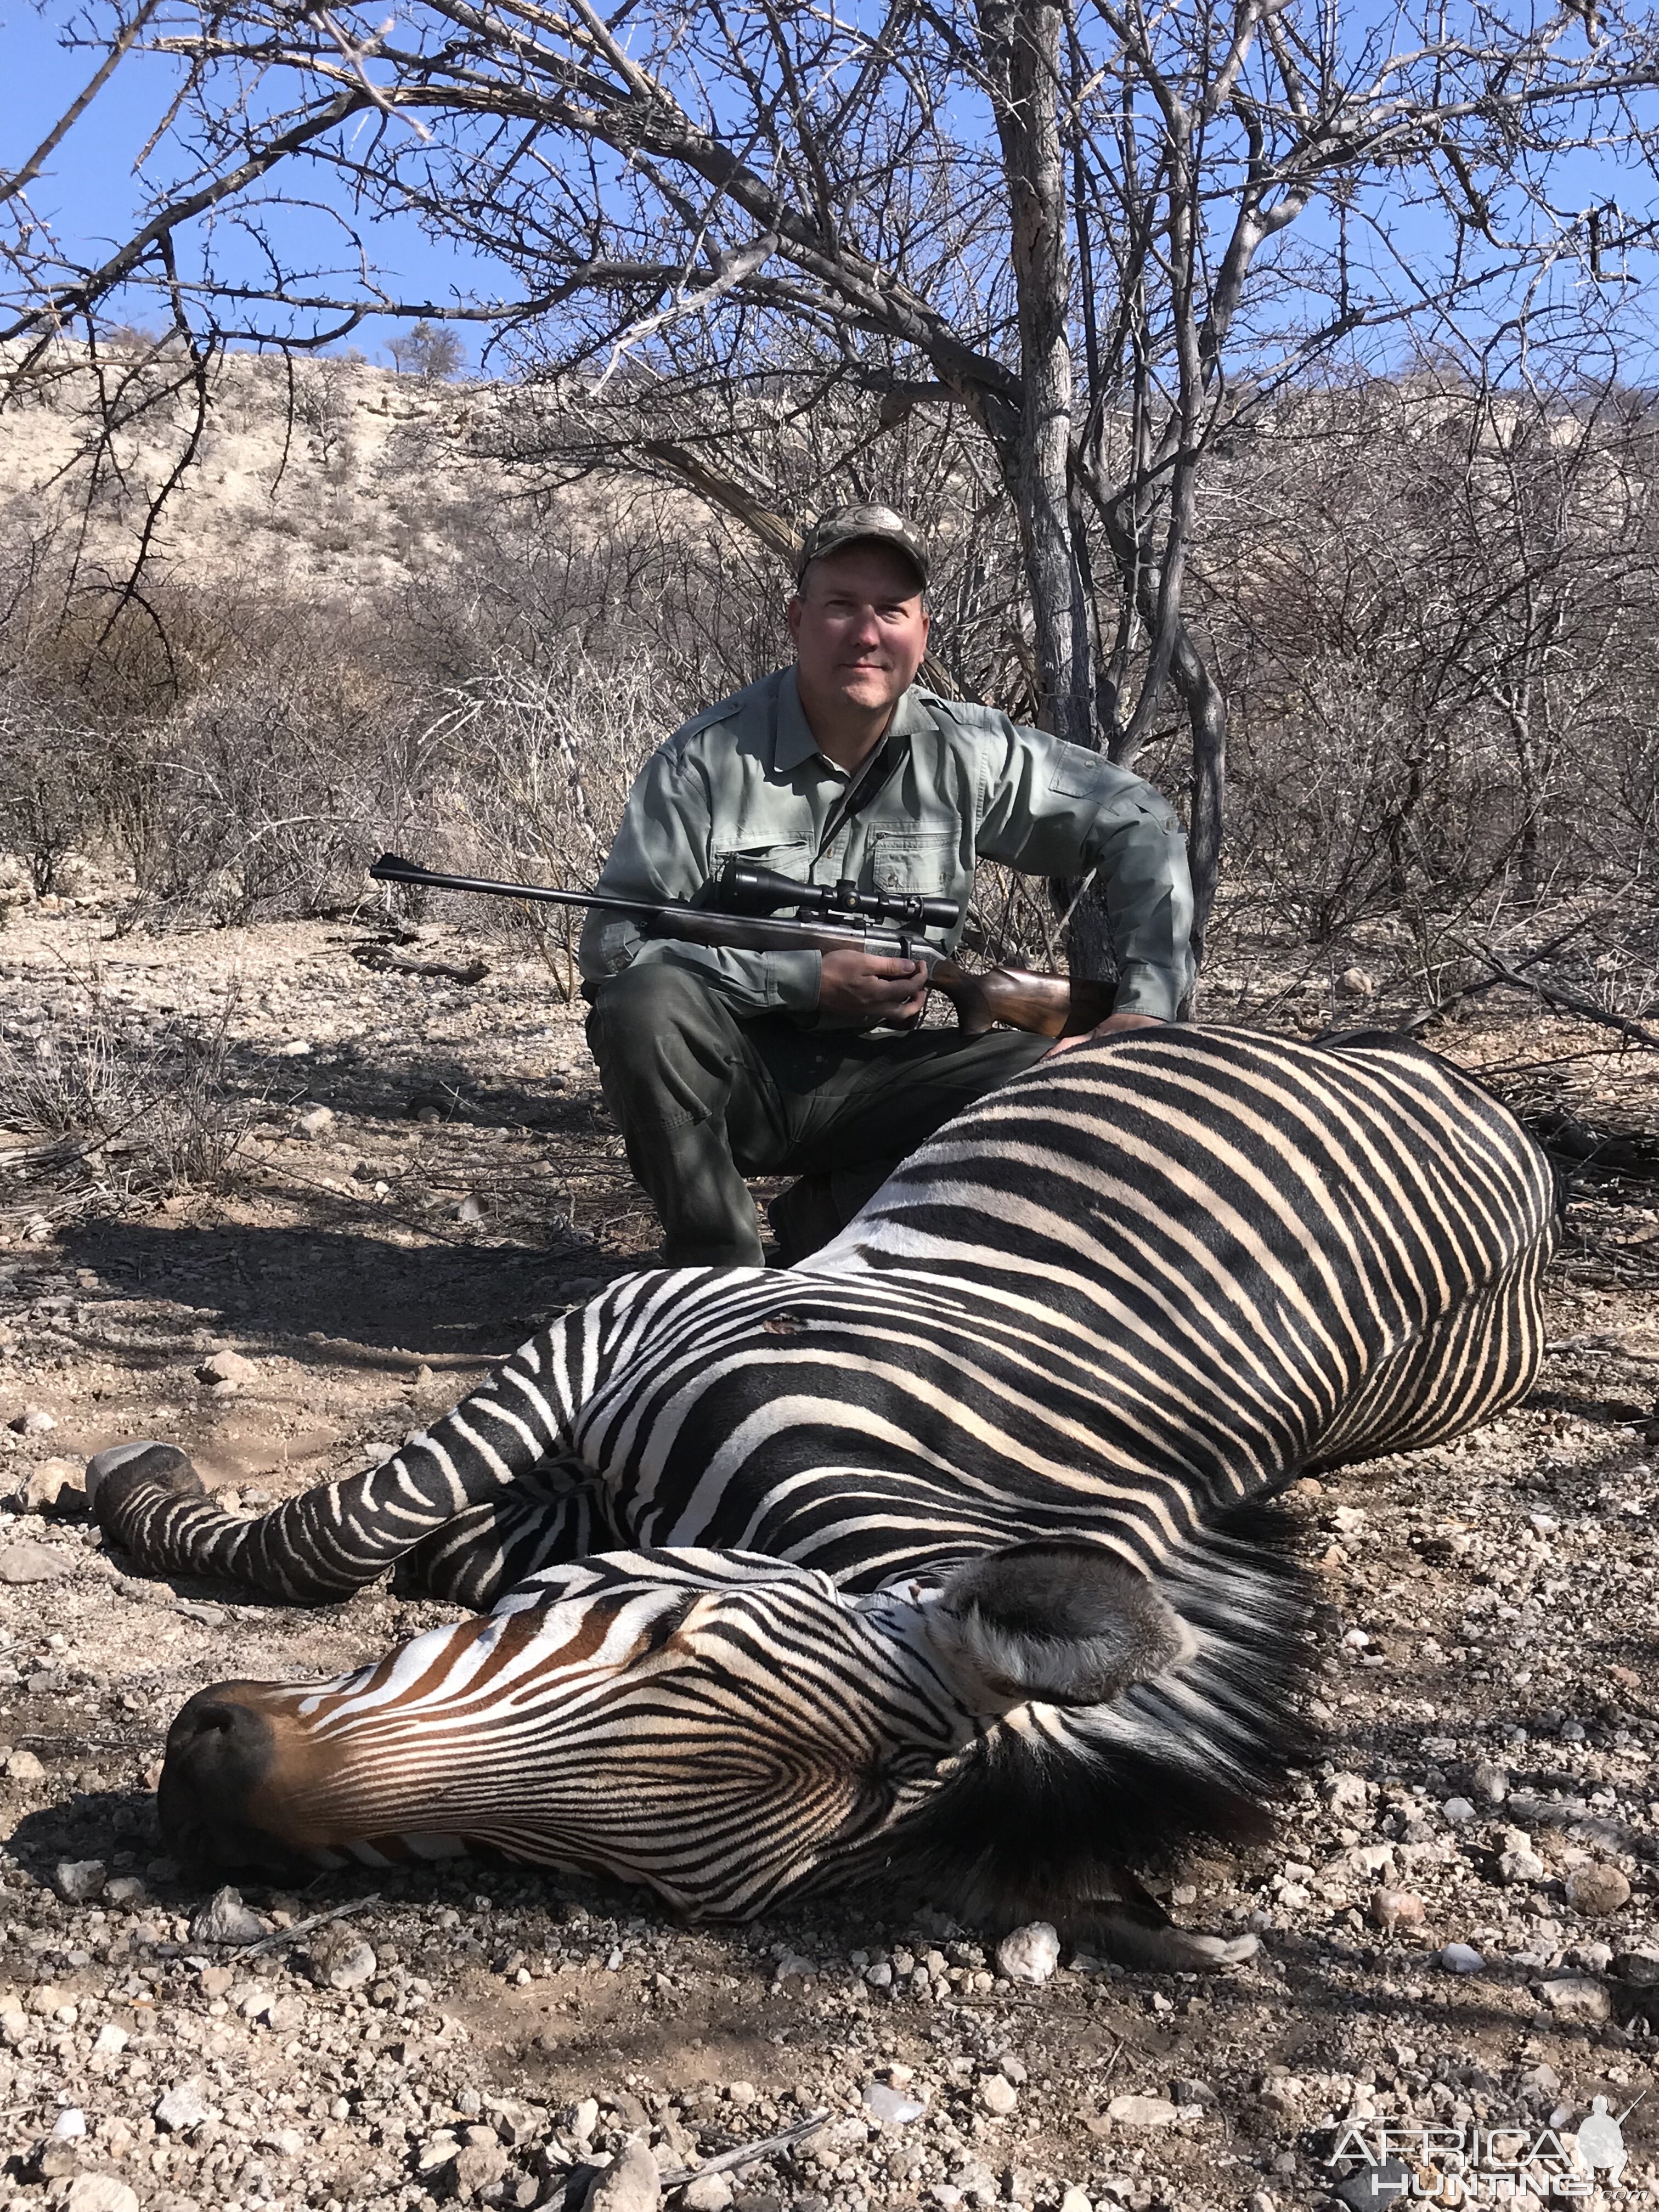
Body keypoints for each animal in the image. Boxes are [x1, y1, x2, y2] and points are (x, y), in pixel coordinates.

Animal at [84, 1026, 1566, 1964]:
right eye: (665, 1636)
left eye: (602, 1872)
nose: (202, 1786)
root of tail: (1505, 1121)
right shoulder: (632, 1322)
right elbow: (371, 1528)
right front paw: (144, 1474)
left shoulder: (624, 1346)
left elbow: (364, 1534)